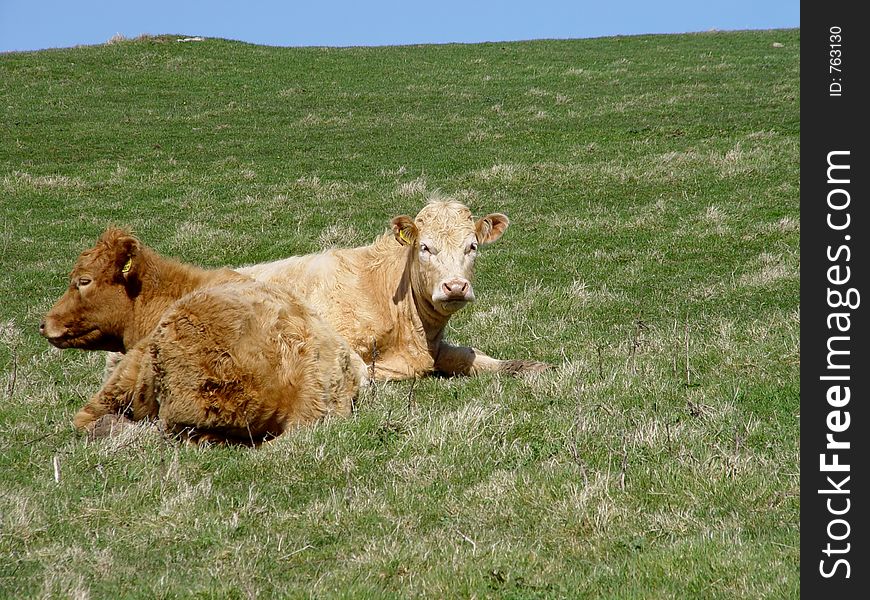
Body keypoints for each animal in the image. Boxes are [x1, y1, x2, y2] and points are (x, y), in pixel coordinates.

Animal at [240, 199, 552, 382]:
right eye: (425, 247)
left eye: (472, 246)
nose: (455, 286)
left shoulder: (437, 348)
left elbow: (470, 355)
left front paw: (530, 366)